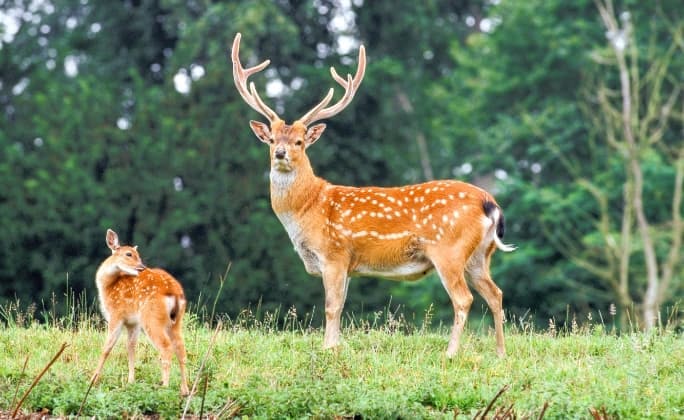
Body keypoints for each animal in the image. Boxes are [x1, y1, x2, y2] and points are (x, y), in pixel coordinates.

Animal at [90, 228, 190, 396]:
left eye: (138, 254)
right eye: (129, 254)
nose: (141, 266)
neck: (108, 286)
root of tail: (174, 293)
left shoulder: (116, 314)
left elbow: (107, 348)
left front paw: (93, 380)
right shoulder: (133, 323)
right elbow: (131, 348)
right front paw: (130, 381)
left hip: (151, 317)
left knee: (166, 347)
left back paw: (164, 386)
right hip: (176, 321)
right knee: (181, 348)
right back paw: (185, 390)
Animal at [230, 33, 512, 358]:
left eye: (300, 142)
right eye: (272, 139)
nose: (280, 153)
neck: (308, 210)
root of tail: (490, 203)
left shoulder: (335, 253)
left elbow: (331, 307)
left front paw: (327, 350)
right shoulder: (348, 265)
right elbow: (340, 307)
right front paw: (335, 347)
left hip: (448, 249)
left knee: (464, 299)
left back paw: (450, 353)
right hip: (480, 254)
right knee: (495, 293)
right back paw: (501, 353)